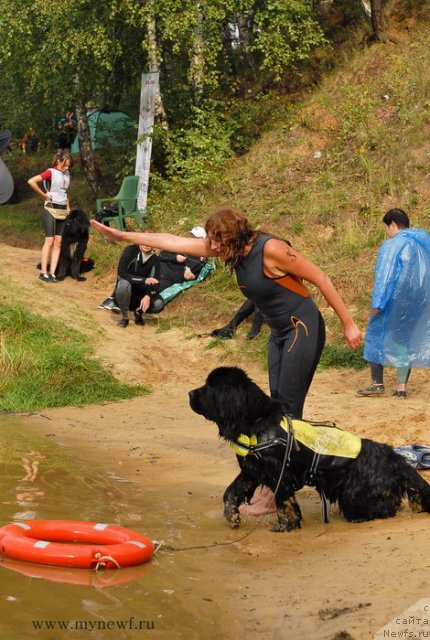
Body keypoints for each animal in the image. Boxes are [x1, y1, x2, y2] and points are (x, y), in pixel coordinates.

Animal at [189, 368, 430, 532]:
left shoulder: (279, 475)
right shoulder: (251, 471)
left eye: (209, 388)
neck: (257, 423)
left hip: (354, 495)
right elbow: (231, 492)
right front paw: (232, 516)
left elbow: (284, 504)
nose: (190, 393)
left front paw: (285, 527)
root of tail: (395, 457)